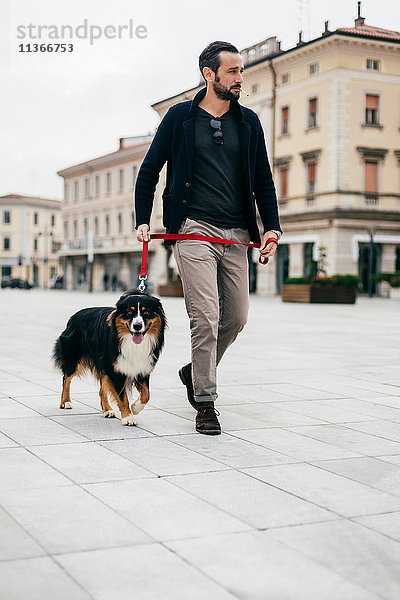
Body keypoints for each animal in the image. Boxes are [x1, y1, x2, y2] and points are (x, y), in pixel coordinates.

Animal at [52, 288, 166, 424]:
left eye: (147, 312)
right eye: (129, 312)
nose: (137, 326)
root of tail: (73, 317)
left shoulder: (143, 366)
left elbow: (146, 394)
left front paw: (136, 408)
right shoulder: (115, 369)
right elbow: (122, 397)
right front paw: (128, 417)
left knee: (102, 389)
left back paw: (107, 410)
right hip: (73, 357)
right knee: (66, 378)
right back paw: (65, 402)